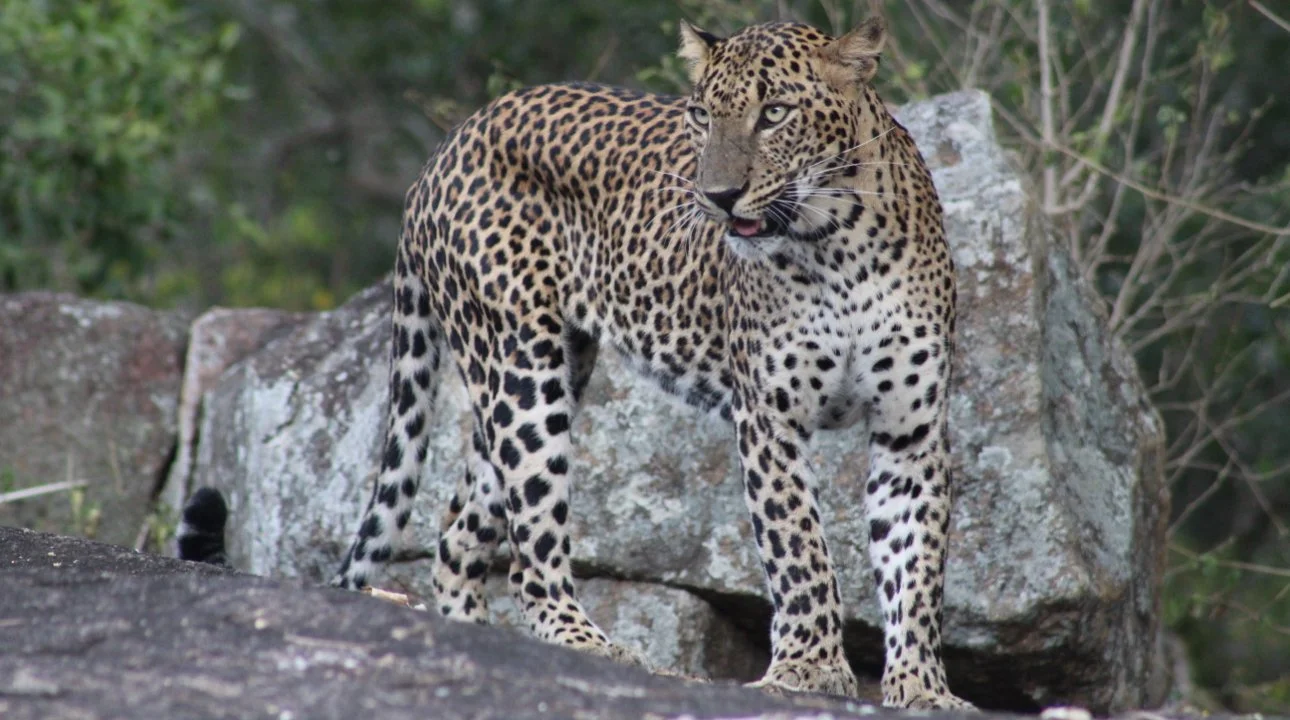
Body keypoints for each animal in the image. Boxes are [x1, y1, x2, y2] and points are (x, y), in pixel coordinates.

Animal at [331, 16, 970, 709]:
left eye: (774, 113)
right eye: (701, 115)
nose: (719, 196)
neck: (837, 243)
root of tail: (448, 145)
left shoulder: (910, 429)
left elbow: (915, 564)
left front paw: (921, 686)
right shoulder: (768, 419)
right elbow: (798, 547)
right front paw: (807, 668)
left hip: (543, 371)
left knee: (459, 533)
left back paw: (476, 648)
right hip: (520, 370)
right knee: (529, 548)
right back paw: (590, 646)